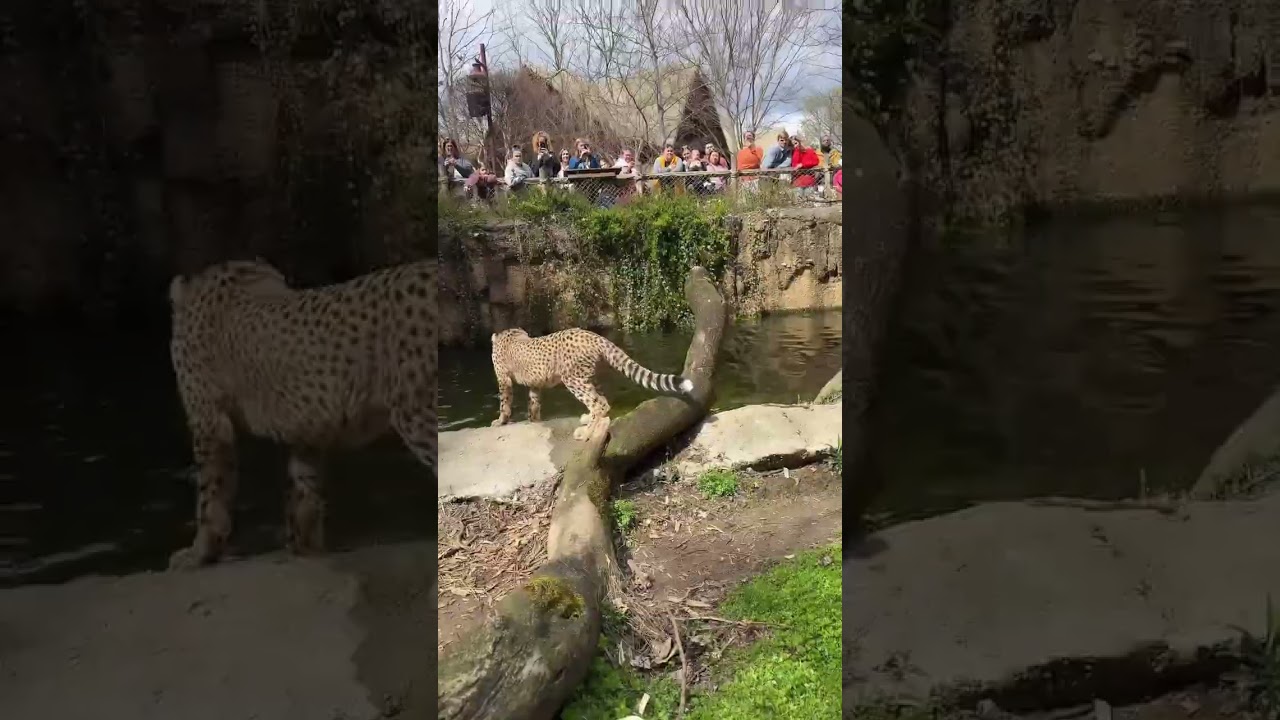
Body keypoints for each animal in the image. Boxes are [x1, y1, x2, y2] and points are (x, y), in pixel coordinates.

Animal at [166, 258, 436, 570]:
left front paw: (198, 552)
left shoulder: (210, 423)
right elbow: (304, 485)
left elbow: (210, 496)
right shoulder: (310, 424)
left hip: (415, 411)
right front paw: (305, 548)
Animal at [490, 327, 694, 440]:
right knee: (602, 401)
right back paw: (589, 419)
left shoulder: (503, 379)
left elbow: (504, 402)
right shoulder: (535, 384)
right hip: (589, 377)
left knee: (599, 403)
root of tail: (593, 335)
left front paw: (500, 421)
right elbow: (534, 403)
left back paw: (586, 433)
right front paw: (534, 421)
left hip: (573, 379)